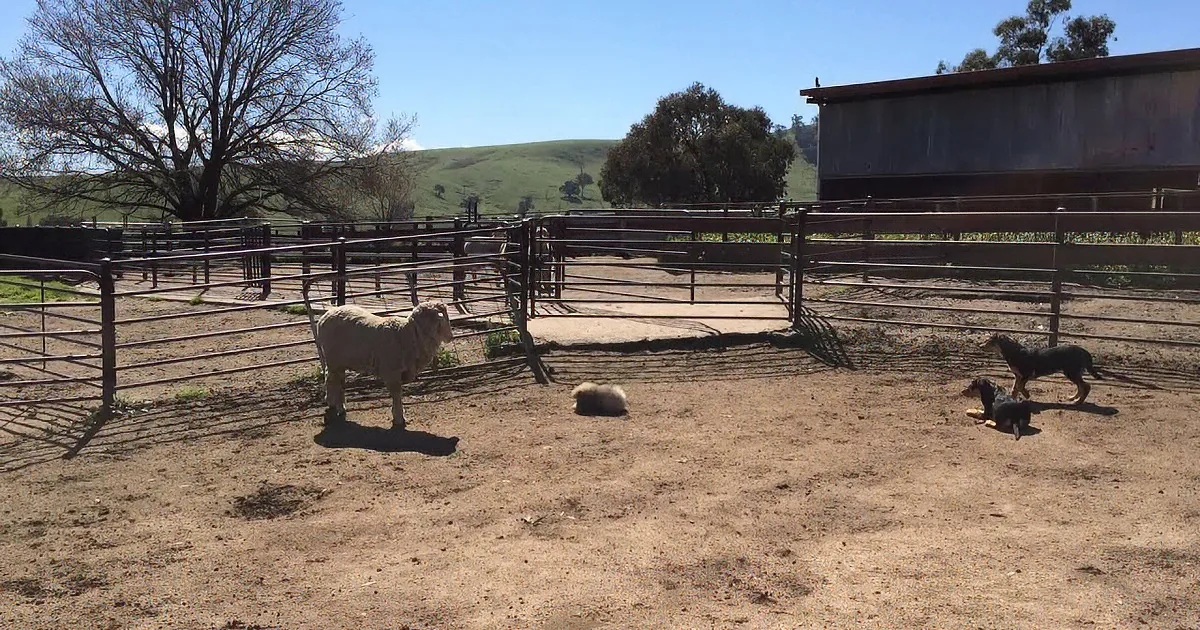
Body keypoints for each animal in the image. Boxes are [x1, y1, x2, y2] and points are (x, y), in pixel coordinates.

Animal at [314, 300, 454, 430]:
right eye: (442, 320)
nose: (451, 337)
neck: (409, 334)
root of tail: (323, 318)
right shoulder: (392, 371)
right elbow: (397, 394)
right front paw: (399, 418)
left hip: (339, 362)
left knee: (337, 381)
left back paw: (339, 406)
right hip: (333, 360)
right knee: (332, 380)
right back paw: (333, 404)